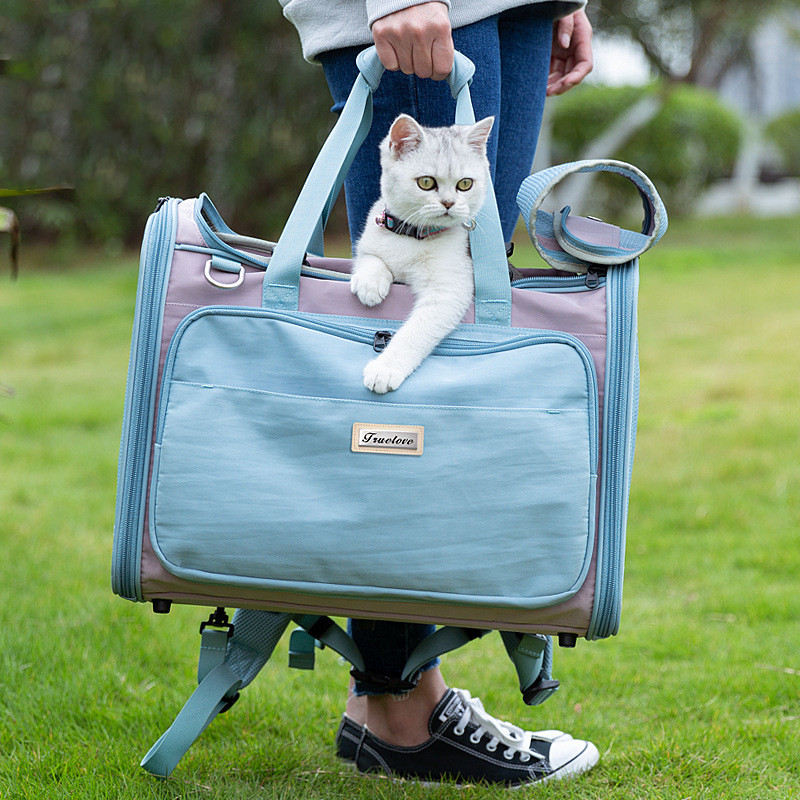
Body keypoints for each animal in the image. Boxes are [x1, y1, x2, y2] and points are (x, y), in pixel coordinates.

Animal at [352, 114, 494, 396]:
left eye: (465, 184)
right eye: (426, 182)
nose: (449, 203)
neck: (411, 237)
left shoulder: (449, 291)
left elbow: (415, 332)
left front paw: (385, 368)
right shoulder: (370, 241)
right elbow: (370, 257)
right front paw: (370, 283)